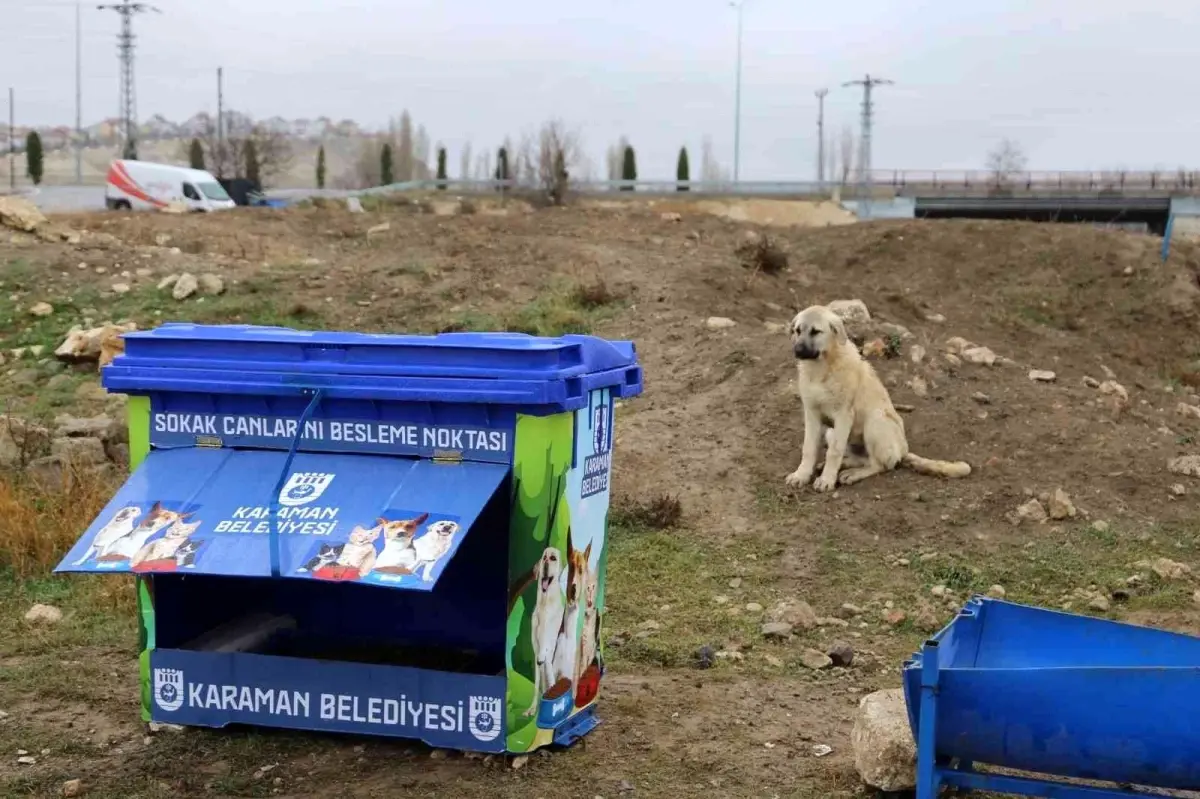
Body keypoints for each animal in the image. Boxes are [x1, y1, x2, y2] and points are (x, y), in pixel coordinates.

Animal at [782, 304, 969, 491]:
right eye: (797, 331)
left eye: (816, 331)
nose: (797, 351)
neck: (821, 368)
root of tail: (903, 450)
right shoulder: (811, 412)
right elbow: (809, 448)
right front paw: (801, 475)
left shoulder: (843, 415)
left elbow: (834, 452)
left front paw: (826, 480)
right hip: (832, 431)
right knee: (862, 459)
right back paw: (845, 465)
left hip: (875, 421)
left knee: (879, 465)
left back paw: (852, 473)